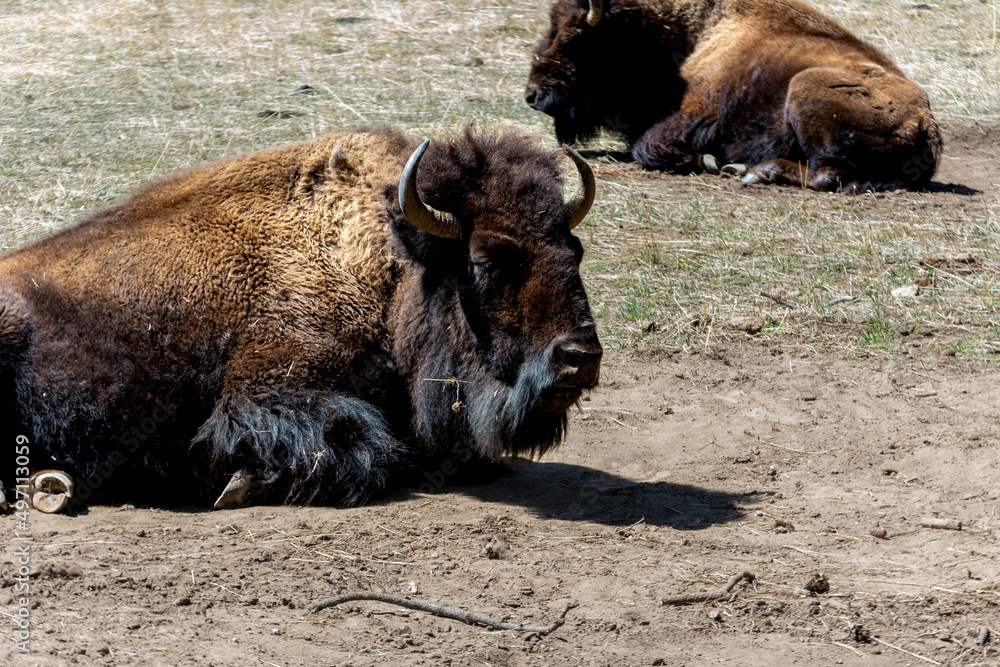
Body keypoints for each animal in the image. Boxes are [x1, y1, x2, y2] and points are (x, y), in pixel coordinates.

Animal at [0, 127, 602, 509]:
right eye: (483, 260)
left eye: (573, 251)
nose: (580, 358)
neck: (389, 265)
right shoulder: (266, 386)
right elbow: (356, 441)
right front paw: (235, 486)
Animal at [526, 0, 943, 190]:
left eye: (573, 37)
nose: (532, 95)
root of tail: (926, 121)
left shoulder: (692, 116)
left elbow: (648, 147)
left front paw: (709, 161)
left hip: (805, 91)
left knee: (827, 173)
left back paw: (755, 172)